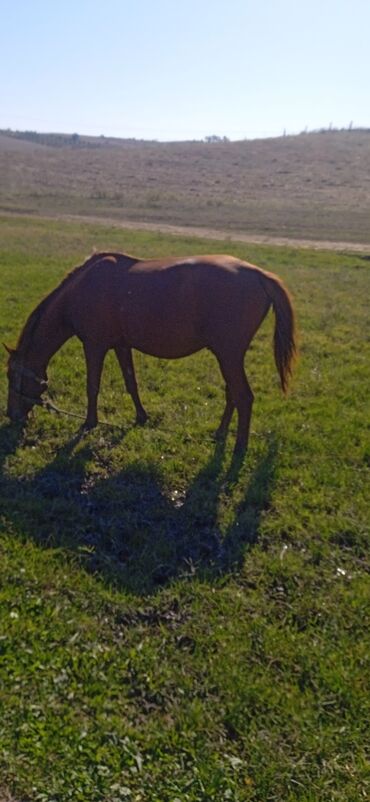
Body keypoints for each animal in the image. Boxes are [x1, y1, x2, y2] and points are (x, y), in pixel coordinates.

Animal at [4, 250, 296, 454]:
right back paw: (221, 432)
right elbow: (131, 382)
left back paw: (239, 447)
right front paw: (141, 417)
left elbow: (92, 386)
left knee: (243, 397)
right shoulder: (121, 345)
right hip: (227, 357)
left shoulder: (94, 346)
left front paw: (89, 422)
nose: (11, 416)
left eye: (10, 376)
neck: (82, 288)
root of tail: (257, 274)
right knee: (232, 394)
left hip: (229, 356)